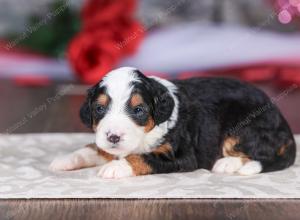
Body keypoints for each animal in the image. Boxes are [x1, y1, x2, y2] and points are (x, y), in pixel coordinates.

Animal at [49, 66, 296, 179]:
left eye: (138, 110)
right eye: (99, 109)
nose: (113, 136)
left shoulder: (182, 156)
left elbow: (142, 157)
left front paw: (117, 166)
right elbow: (93, 148)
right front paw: (64, 159)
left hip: (244, 127)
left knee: (260, 154)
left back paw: (228, 163)